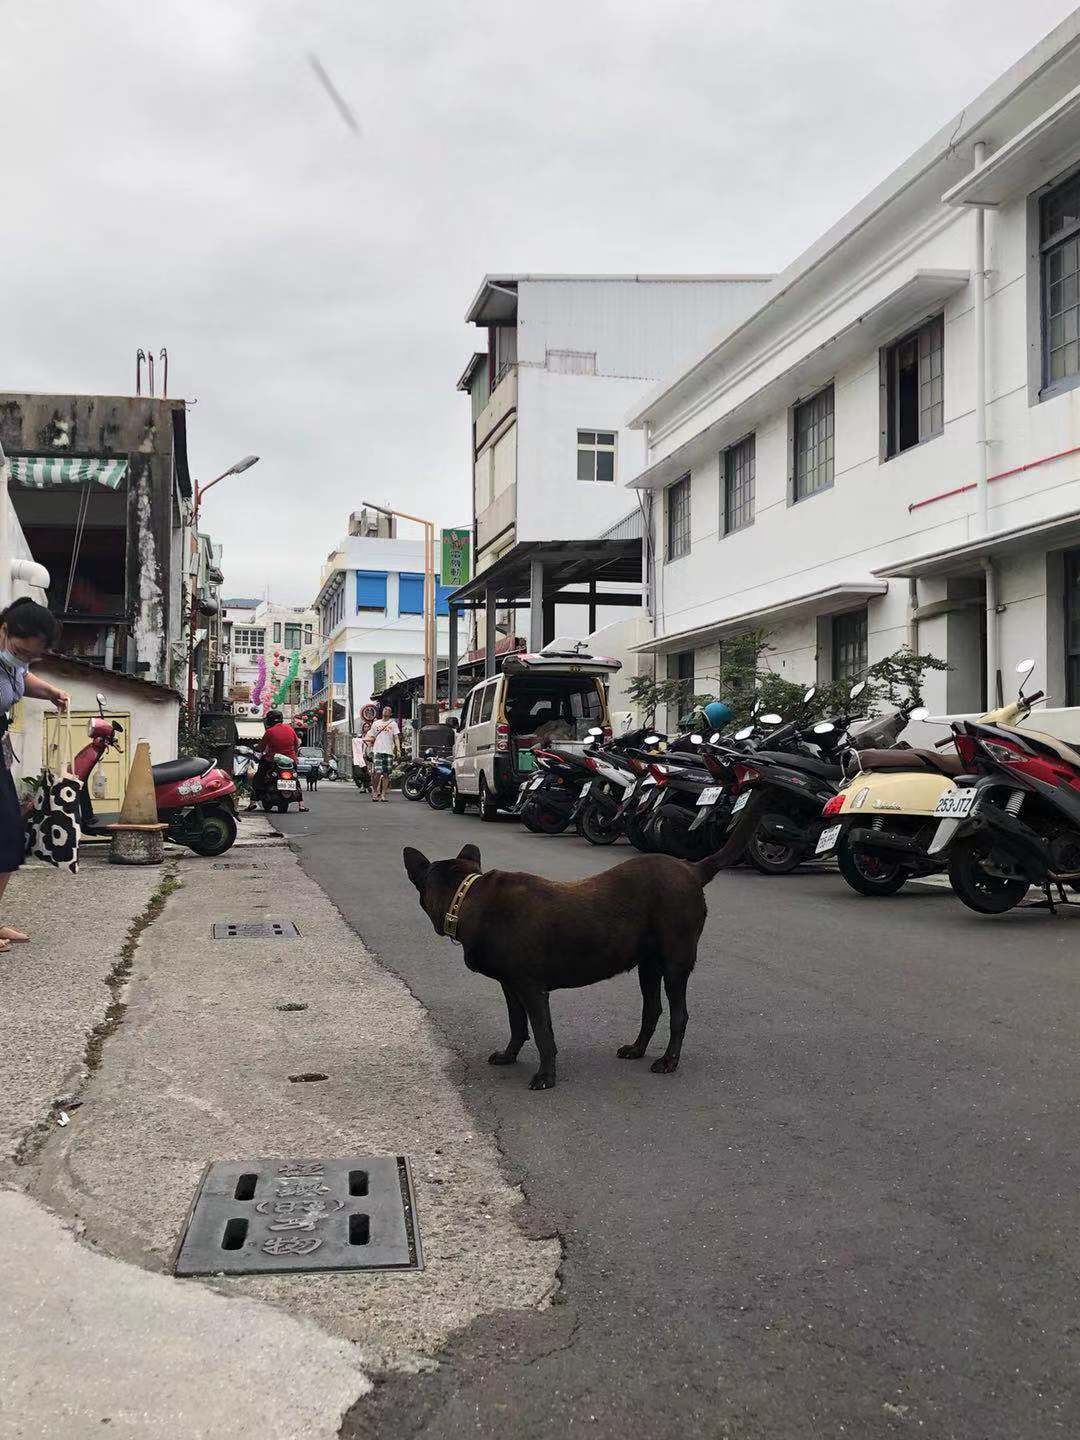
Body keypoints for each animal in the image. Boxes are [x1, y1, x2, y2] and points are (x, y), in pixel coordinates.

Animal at [403, 840, 731, 1088]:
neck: (466, 897)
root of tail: (691, 868)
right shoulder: (510, 986)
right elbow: (517, 1025)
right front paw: (509, 1056)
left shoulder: (531, 989)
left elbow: (543, 1034)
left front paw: (546, 1076)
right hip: (648, 966)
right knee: (652, 1009)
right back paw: (636, 1050)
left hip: (675, 963)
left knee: (679, 1015)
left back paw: (668, 1061)